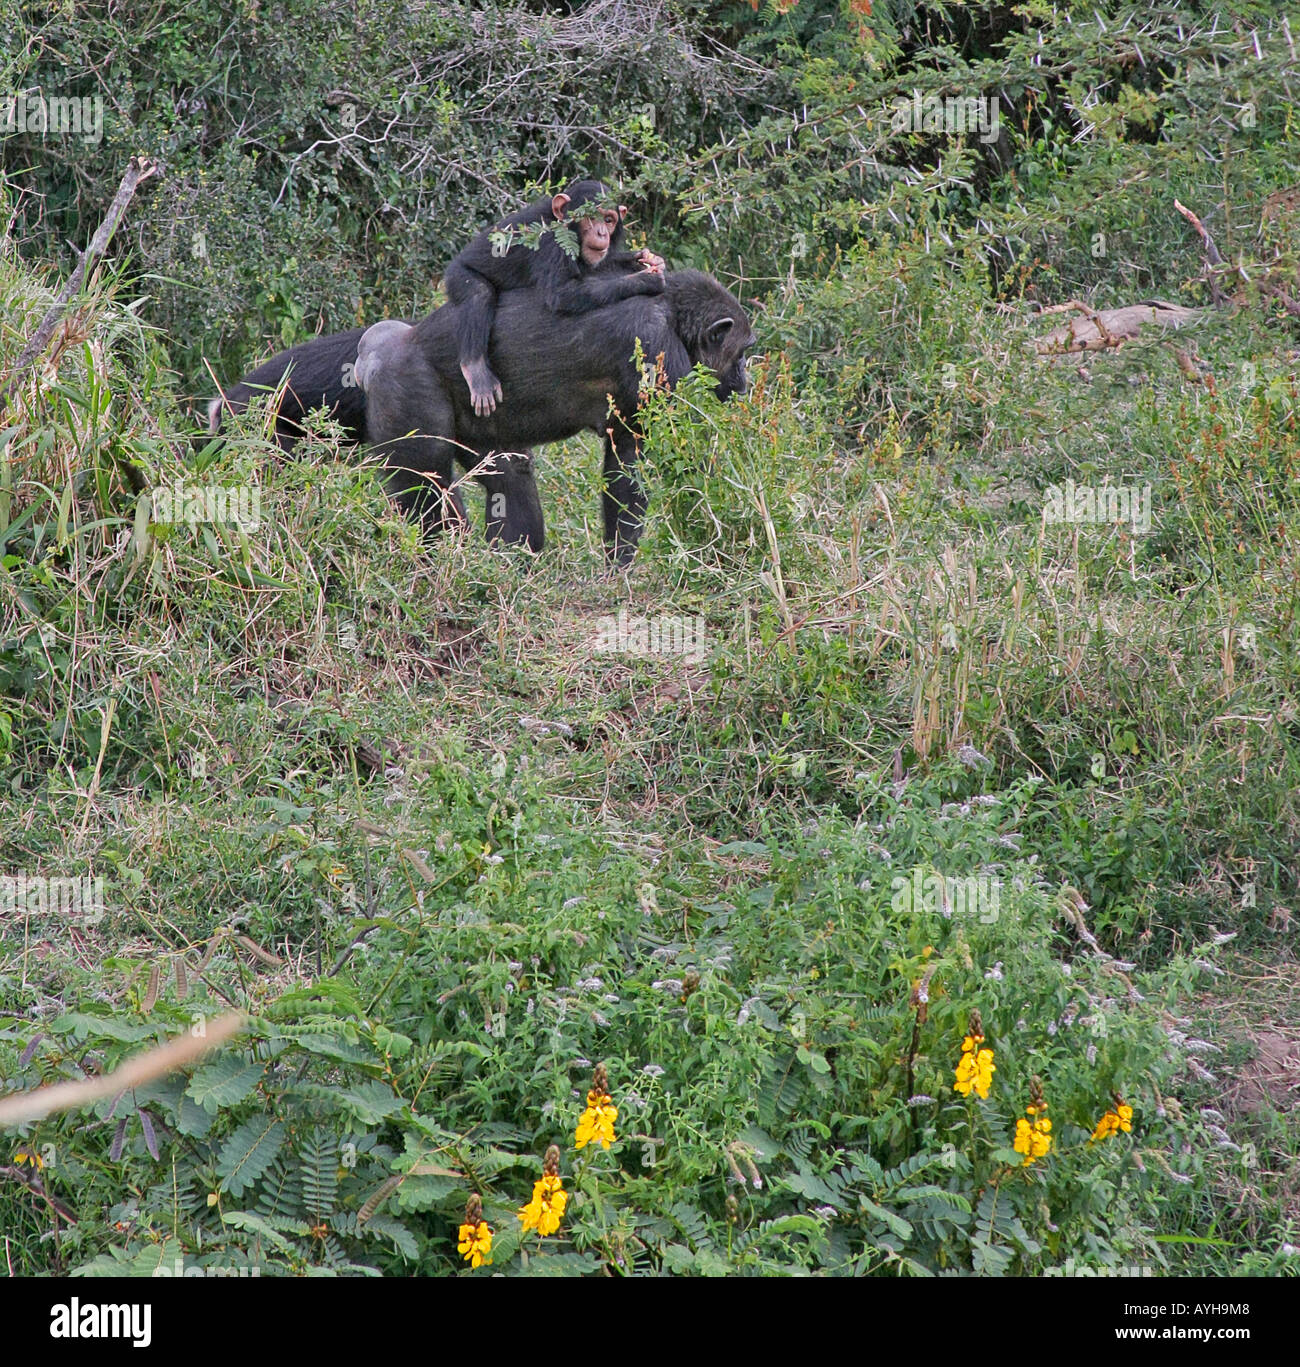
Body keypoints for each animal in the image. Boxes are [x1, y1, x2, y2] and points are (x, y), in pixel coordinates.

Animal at [442, 179, 666, 417]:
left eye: (608, 220)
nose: (601, 232)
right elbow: (562, 293)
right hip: (459, 274)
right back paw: (475, 370)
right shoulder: (552, 243)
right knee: (478, 293)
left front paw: (648, 259)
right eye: (590, 217)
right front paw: (645, 279)